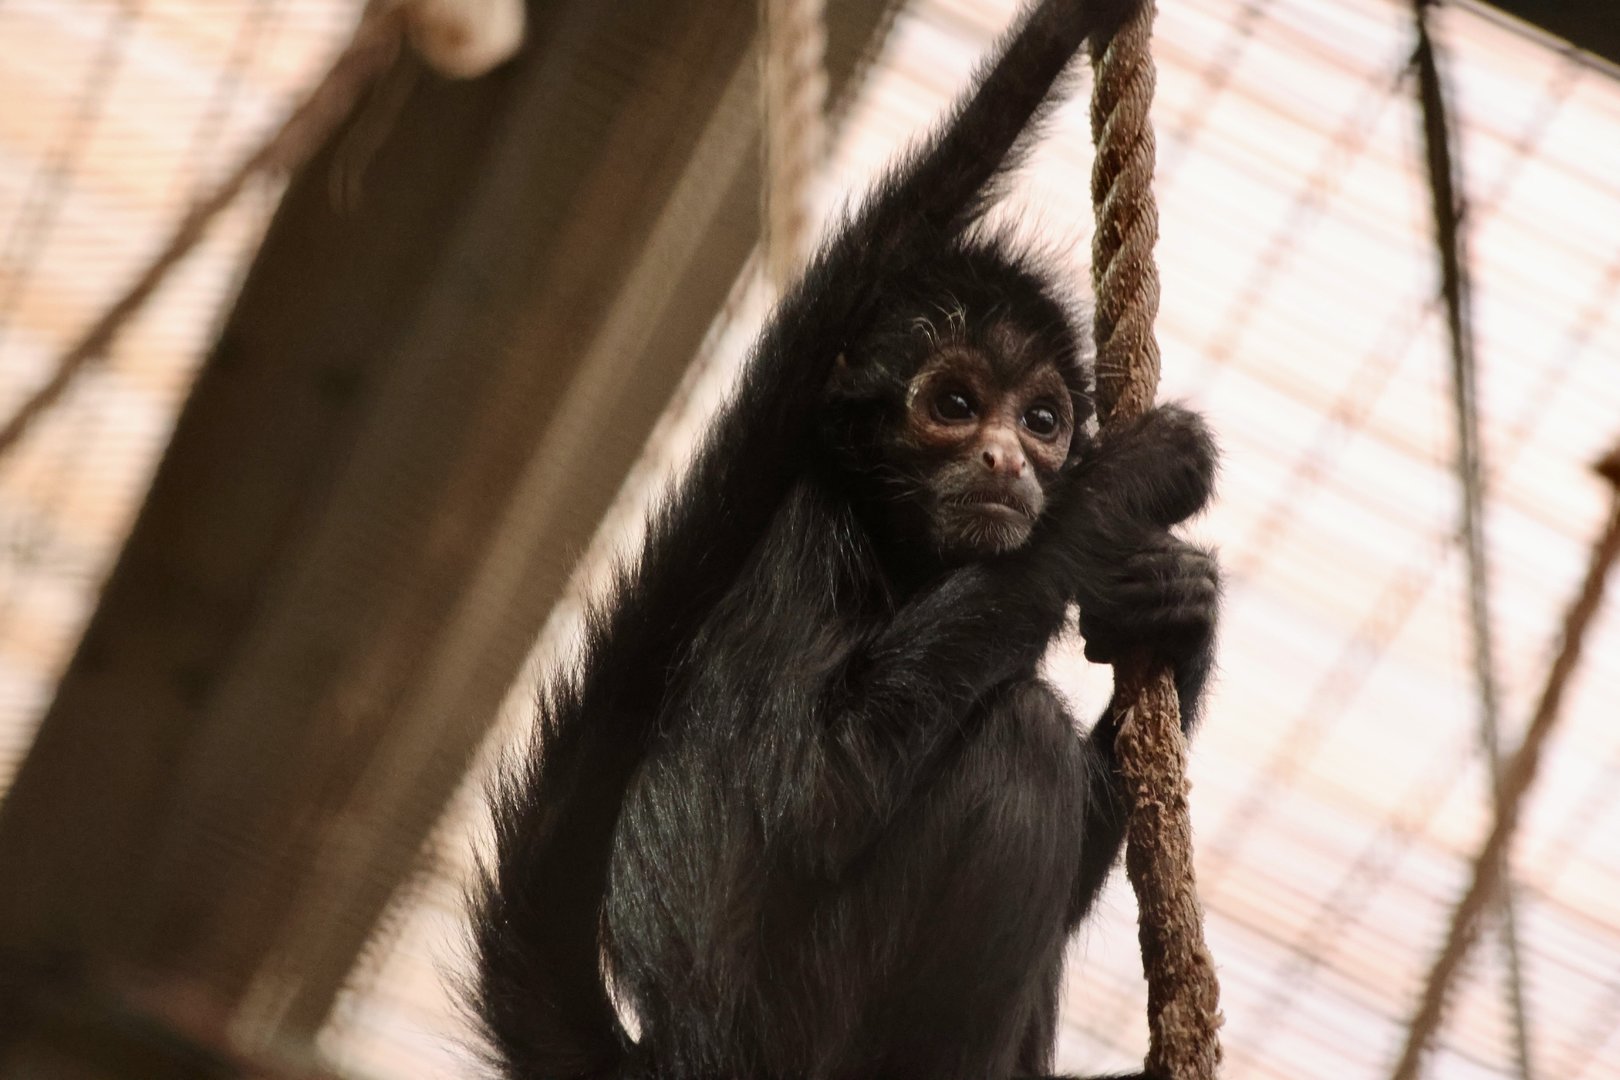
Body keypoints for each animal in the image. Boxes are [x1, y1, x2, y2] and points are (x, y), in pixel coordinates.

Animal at [470, 1, 1219, 1078]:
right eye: (955, 406)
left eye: (1041, 420)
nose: (1009, 461)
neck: (886, 540)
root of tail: (681, 1050)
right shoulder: (799, 545)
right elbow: (814, 802)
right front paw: (1120, 489)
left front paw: (1177, 600)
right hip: (803, 1017)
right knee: (1018, 736)